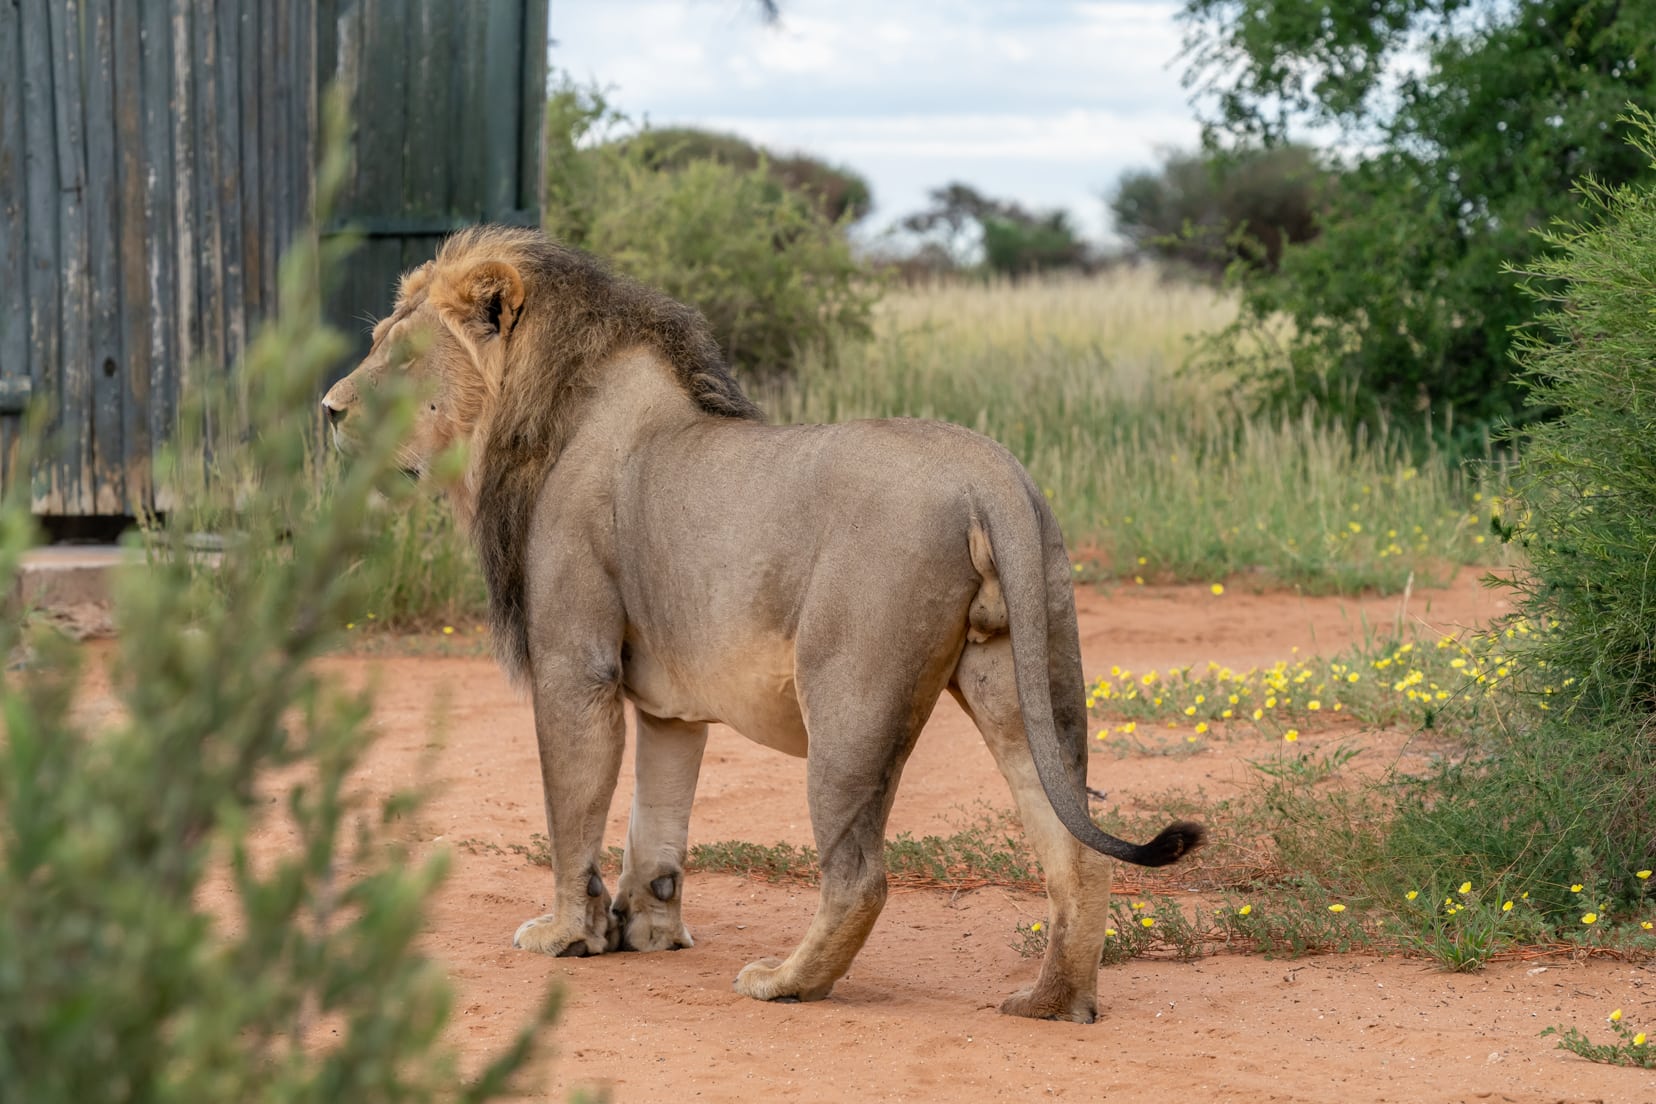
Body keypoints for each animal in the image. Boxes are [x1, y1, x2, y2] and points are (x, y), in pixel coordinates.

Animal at [326, 226, 1205, 1026]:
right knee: (1075, 845)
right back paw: (1052, 1001)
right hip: (1029, 674)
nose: (328, 410)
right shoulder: (670, 706)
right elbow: (657, 820)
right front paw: (647, 931)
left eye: (401, 361)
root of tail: (988, 473)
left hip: (850, 698)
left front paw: (568, 936)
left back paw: (787, 982)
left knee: (860, 873)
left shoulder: (576, 666)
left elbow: (572, 811)